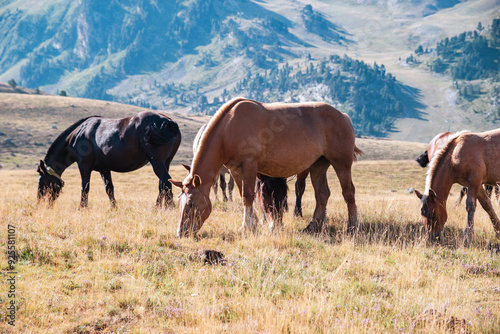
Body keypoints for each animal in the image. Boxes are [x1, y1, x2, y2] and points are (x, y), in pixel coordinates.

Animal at [38, 112, 182, 209]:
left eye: (41, 181)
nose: (40, 203)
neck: (79, 134)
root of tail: (169, 122)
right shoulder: (104, 169)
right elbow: (109, 188)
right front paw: (114, 207)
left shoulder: (84, 166)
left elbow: (85, 187)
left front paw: (82, 208)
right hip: (165, 162)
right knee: (163, 184)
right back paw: (158, 207)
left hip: (157, 162)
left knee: (166, 182)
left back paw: (169, 207)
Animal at [170, 96, 362, 237]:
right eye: (179, 202)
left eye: (191, 204)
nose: (181, 233)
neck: (229, 128)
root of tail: (343, 116)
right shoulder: (235, 170)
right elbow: (244, 194)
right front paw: (254, 223)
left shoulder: (249, 164)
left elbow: (248, 196)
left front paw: (246, 227)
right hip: (318, 166)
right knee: (322, 194)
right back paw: (313, 226)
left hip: (341, 164)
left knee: (348, 193)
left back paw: (352, 227)